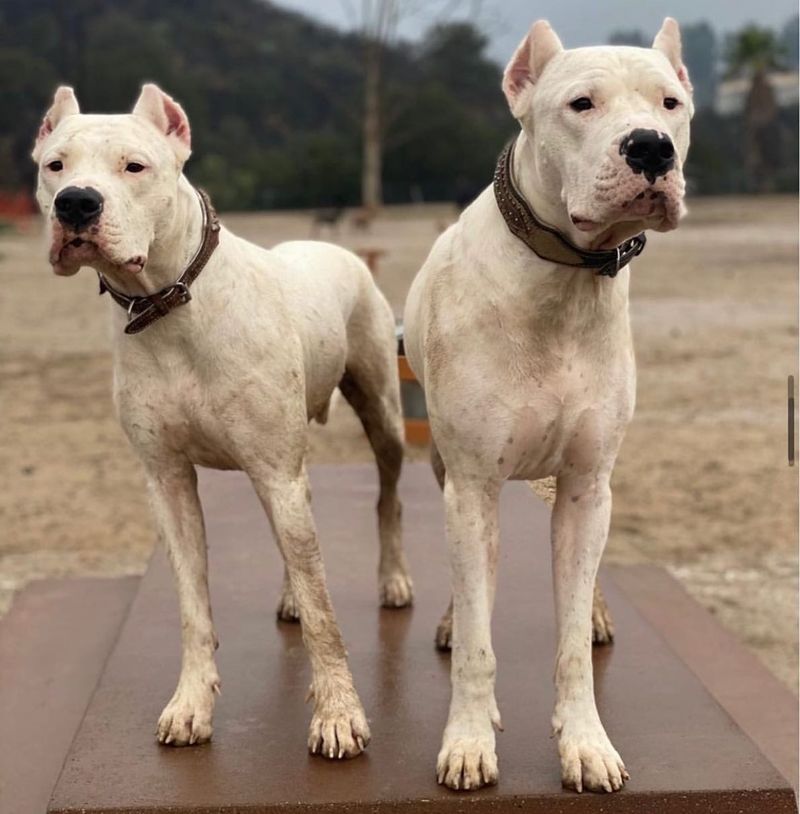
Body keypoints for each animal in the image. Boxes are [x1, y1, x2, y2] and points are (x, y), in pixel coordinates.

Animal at [32, 86, 412, 760]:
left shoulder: (276, 471)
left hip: (381, 413)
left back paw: (392, 579)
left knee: (386, 497)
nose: (76, 202)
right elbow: (193, 604)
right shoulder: (170, 482)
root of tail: (336, 248)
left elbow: (325, 612)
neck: (168, 302)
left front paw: (339, 715)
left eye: (134, 166)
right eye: (55, 166)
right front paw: (191, 705)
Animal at [406, 20, 692, 796]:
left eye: (672, 102)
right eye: (581, 104)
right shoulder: (473, 485)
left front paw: (585, 743)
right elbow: (479, 637)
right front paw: (470, 739)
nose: (651, 146)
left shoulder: (589, 485)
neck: (563, 280)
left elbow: (569, 647)